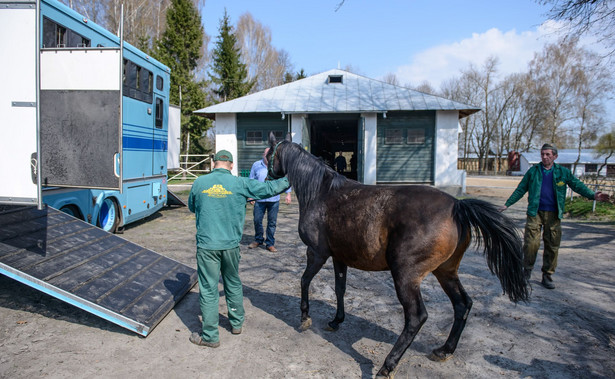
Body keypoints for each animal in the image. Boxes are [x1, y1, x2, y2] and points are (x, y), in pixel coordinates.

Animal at [264, 134, 528, 378]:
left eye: (269, 155)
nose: (266, 179)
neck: (321, 193)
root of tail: (458, 206)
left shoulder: (316, 253)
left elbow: (304, 281)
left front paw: (304, 317)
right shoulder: (339, 257)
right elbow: (340, 289)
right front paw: (336, 320)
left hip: (405, 276)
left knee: (416, 317)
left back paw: (387, 365)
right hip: (446, 272)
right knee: (462, 304)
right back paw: (444, 350)